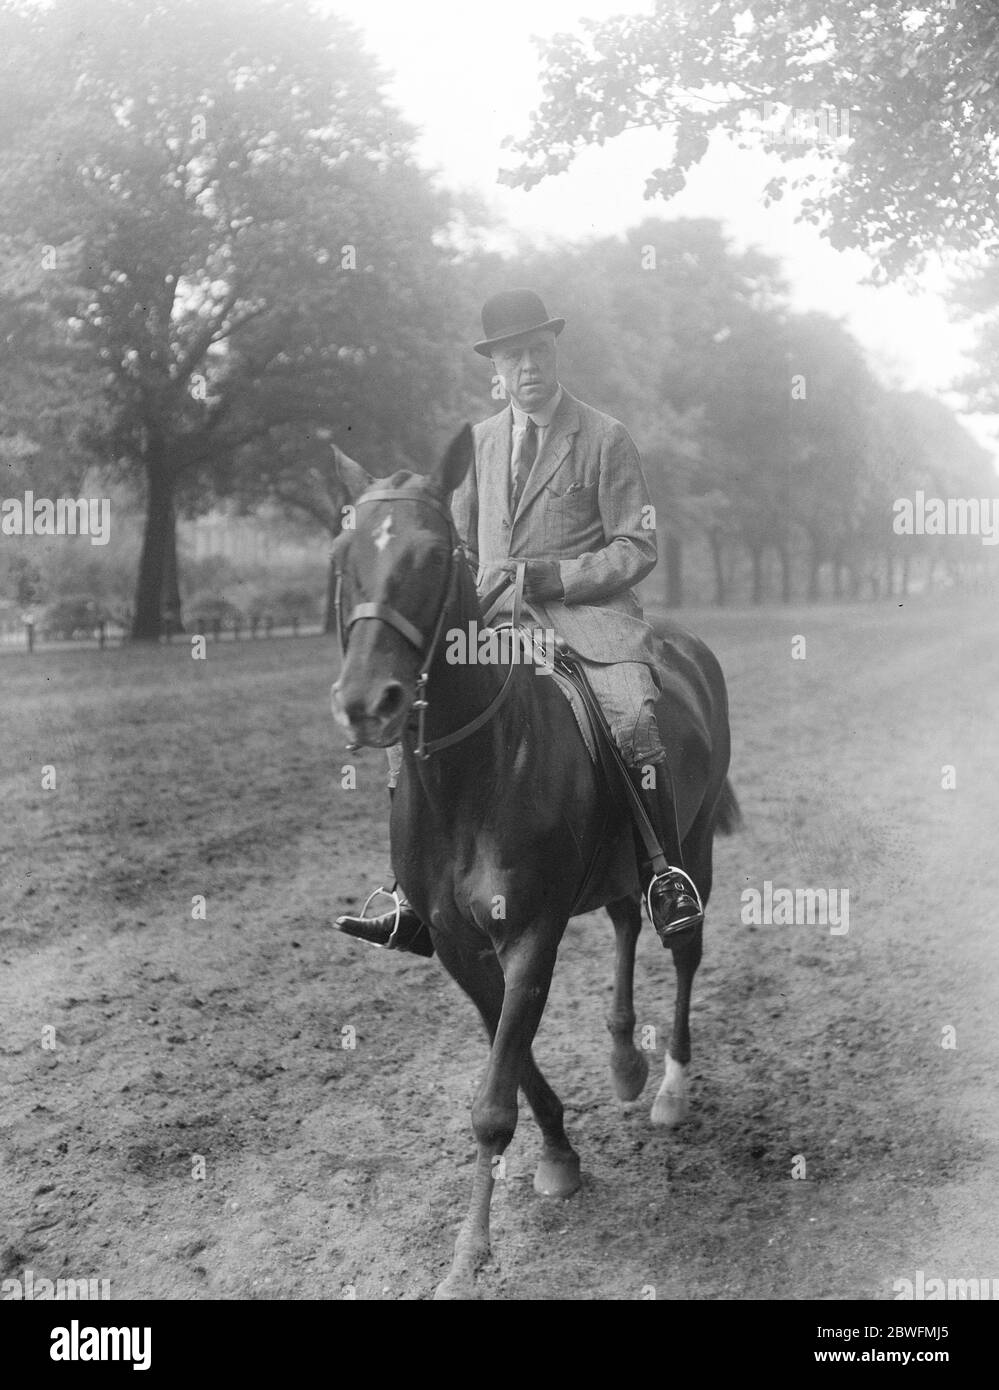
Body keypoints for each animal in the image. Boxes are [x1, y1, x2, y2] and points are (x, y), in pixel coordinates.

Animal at [332, 425, 739, 1301]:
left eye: (431, 553)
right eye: (344, 549)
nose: (364, 703)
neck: (474, 770)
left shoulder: (530, 935)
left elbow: (493, 1096)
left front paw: (469, 1253)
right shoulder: (458, 946)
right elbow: (508, 1058)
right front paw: (557, 1153)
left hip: (690, 847)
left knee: (682, 947)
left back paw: (667, 1087)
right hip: (620, 864)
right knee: (624, 921)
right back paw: (622, 1060)